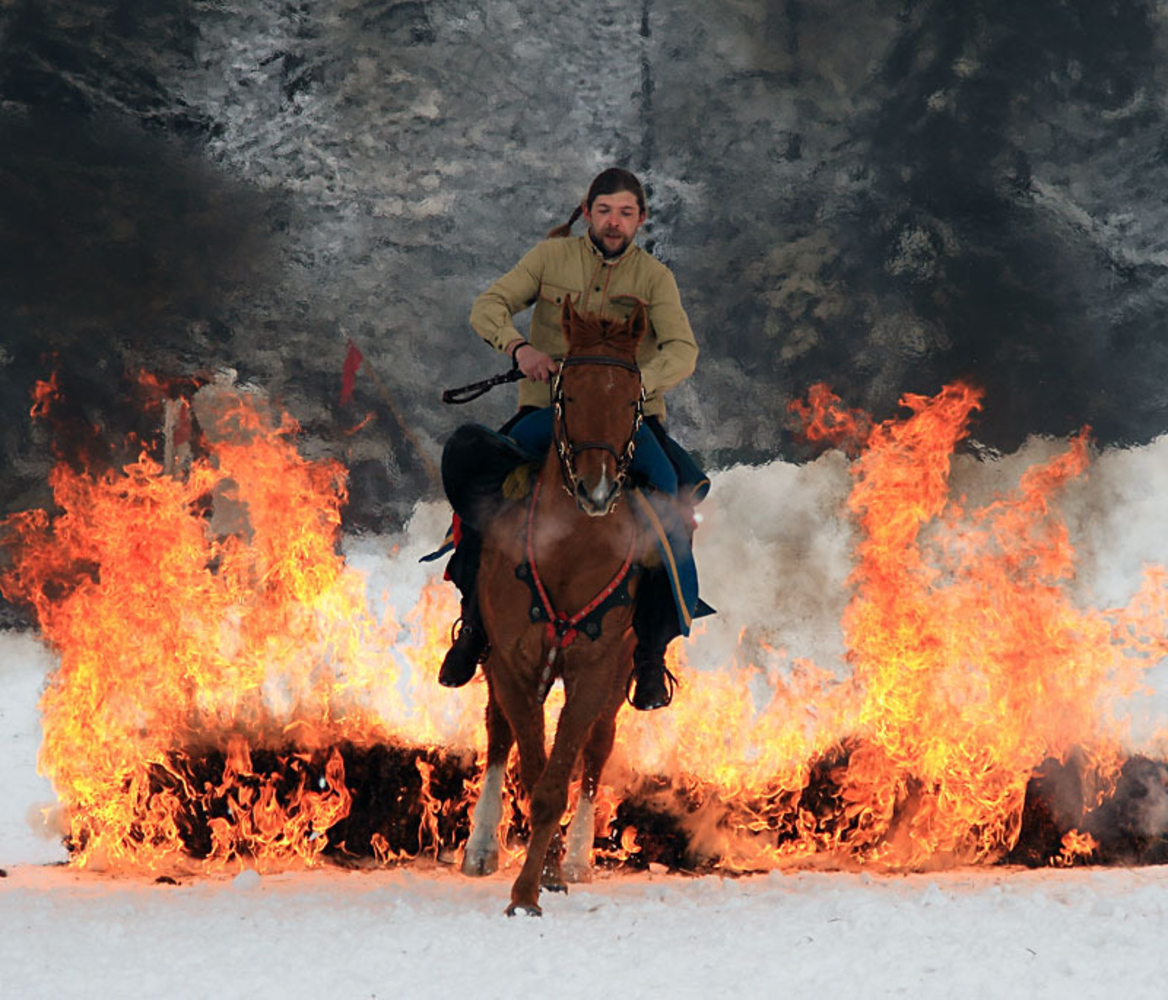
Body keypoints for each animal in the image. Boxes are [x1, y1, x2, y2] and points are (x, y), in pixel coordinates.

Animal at [460, 293, 649, 911]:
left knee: (597, 751)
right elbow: (528, 761)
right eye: (567, 392)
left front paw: (537, 884)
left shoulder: (595, 669)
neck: (568, 552)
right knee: (497, 735)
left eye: (633, 398)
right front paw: (528, 882)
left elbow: (559, 776)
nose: (597, 489)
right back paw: (482, 847)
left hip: (620, 672)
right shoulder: (511, 662)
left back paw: (576, 859)